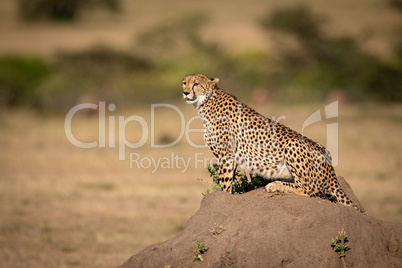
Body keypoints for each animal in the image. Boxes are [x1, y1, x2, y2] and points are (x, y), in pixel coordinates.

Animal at [181, 74, 360, 210]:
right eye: (184, 82)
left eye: (196, 84)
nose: (185, 92)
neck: (206, 102)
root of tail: (330, 164)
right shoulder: (230, 156)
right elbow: (229, 180)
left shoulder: (225, 155)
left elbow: (224, 182)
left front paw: (222, 197)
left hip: (292, 145)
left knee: (312, 189)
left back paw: (275, 185)